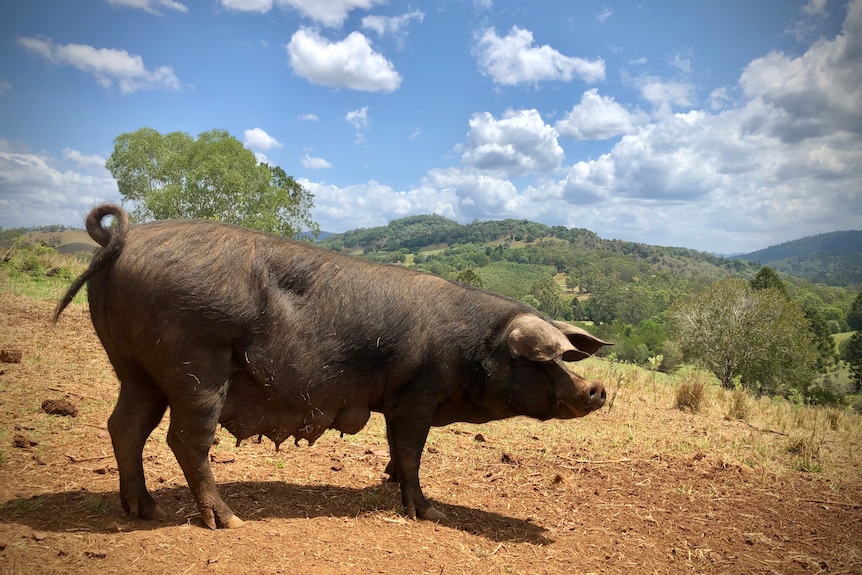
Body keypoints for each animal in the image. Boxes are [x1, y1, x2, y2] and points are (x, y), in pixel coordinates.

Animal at [55, 204, 611, 529]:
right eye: (544, 361)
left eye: (567, 358)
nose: (597, 388)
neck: (472, 346)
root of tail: (119, 241)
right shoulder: (416, 395)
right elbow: (412, 452)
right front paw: (426, 510)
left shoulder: (399, 403)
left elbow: (397, 451)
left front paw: (387, 480)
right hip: (195, 362)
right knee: (184, 438)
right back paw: (229, 521)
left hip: (135, 367)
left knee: (125, 426)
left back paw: (145, 511)